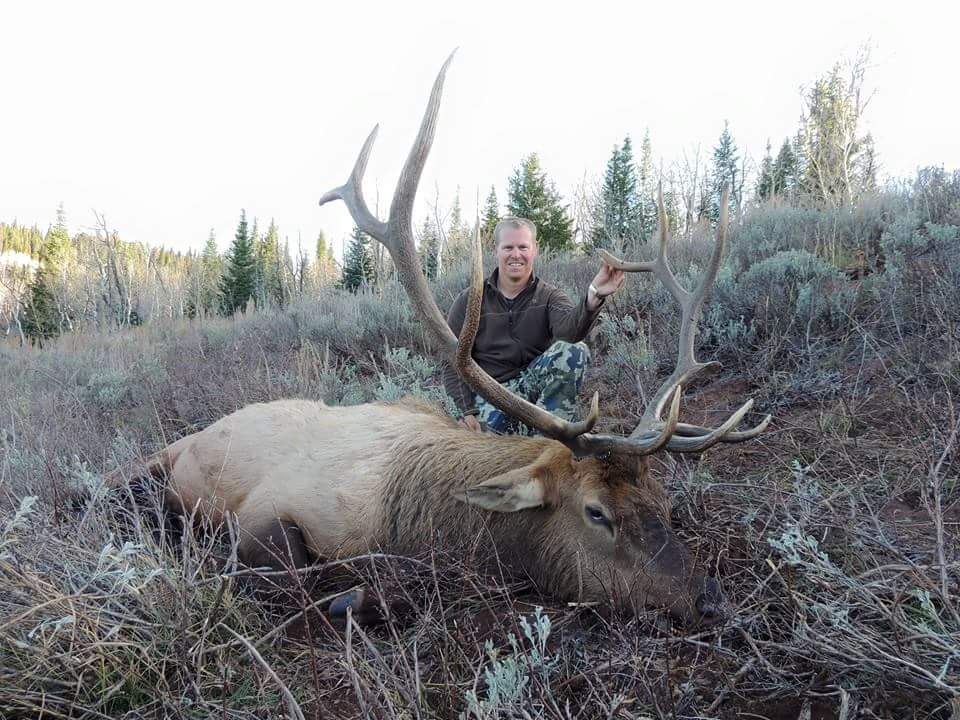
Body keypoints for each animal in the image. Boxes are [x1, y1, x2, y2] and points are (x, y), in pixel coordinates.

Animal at [104, 52, 769, 628]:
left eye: (662, 500)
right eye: (596, 512)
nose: (707, 597)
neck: (416, 518)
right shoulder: (269, 512)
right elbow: (292, 576)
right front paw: (353, 597)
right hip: (156, 465)